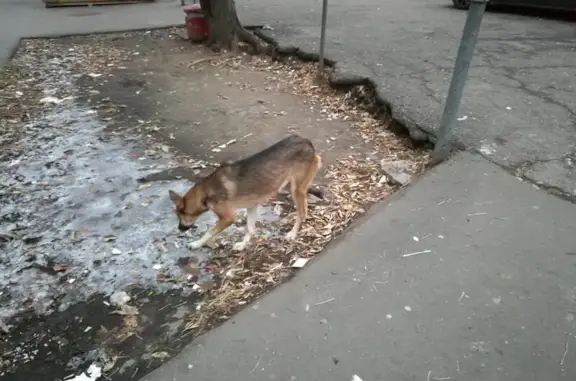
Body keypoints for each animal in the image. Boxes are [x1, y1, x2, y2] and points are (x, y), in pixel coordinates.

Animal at [168, 135, 324, 251]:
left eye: (181, 215)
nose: (179, 229)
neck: (205, 191)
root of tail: (305, 141)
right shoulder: (252, 206)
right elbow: (249, 228)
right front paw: (243, 244)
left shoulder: (228, 218)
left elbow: (209, 232)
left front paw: (197, 243)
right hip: (288, 186)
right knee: (304, 207)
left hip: (295, 189)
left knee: (301, 212)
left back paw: (292, 233)